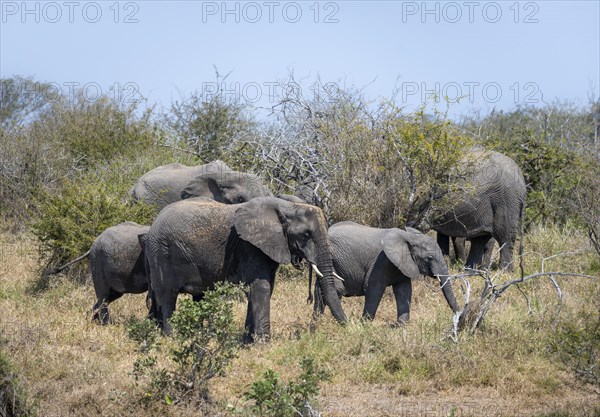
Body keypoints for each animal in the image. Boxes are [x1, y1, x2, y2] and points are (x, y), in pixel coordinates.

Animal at [144, 197, 346, 340]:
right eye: (306, 234)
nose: (348, 327)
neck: (288, 206)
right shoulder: (249, 245)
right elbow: (261, 287)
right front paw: (263, 344)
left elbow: (263, 287)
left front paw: (248, 341)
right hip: (161, 253)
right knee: (168, 295)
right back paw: (172, 337)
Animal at [312, 221, 462, 322]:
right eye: (429, 258)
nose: (459, 314)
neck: (408, 237)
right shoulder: (381, 262)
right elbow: (374, 288)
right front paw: (364, 325)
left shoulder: (403, 265)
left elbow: (404, 290)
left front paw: (400, 326)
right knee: (336, 290)